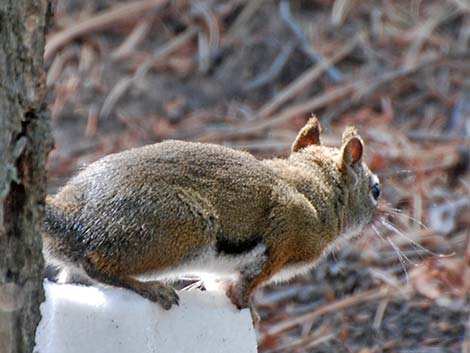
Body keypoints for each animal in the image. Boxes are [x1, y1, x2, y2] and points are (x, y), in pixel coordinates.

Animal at [41, 117, 382, 314]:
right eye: (376, 189)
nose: (379, 215)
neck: (313, 189)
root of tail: (67, 219)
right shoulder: (287, 229)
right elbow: (252, 280)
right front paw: (247, 304)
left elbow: (221, 281)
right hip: (184, 227)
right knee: (95, 263)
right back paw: (151, 288)